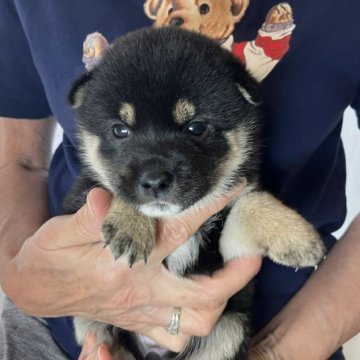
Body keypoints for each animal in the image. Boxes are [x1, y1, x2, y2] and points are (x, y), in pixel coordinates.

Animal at [65, 27, 326, 360]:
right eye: (119, 130)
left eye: (196, 127)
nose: (155, 181)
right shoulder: (75, 202)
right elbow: (108, 189)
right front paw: (130, 226)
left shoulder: (223, 251)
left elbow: (250, 201)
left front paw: (297, 237)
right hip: (98, 329)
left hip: (227, 331)